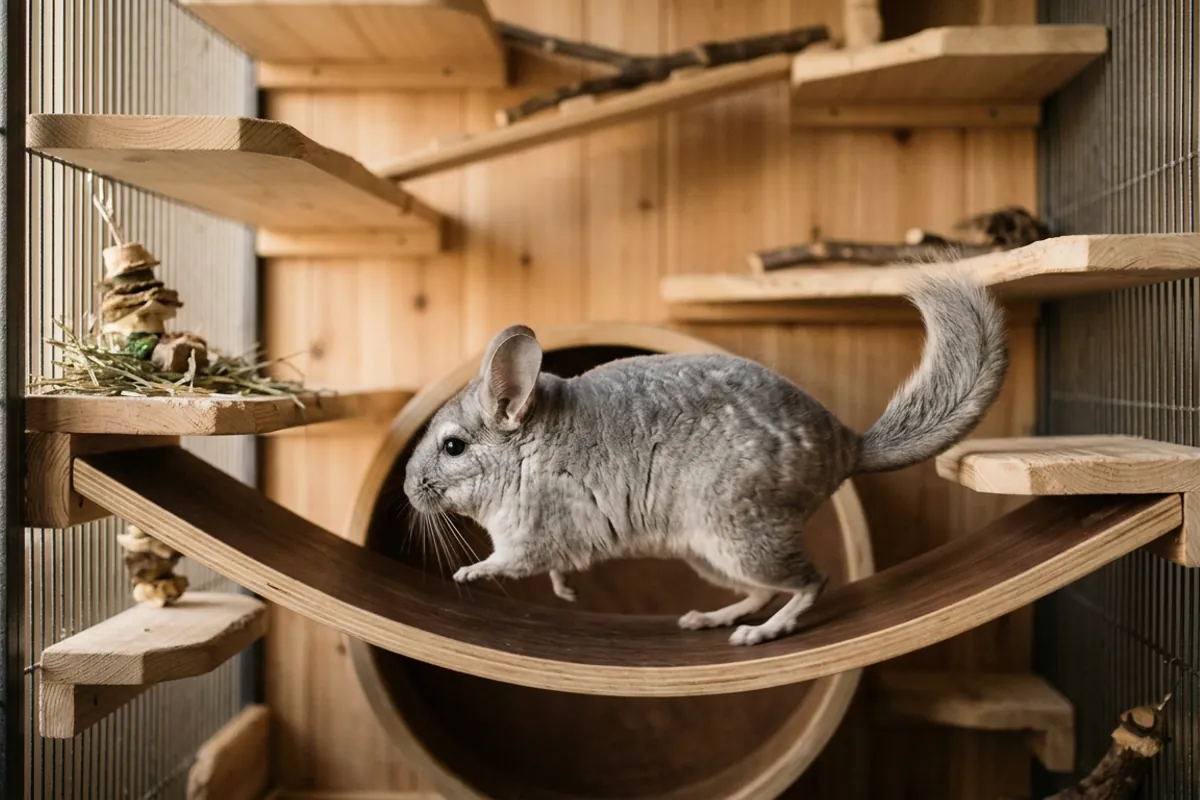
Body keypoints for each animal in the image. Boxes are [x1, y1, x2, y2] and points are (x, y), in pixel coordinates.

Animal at [402, 271, 1007, 646]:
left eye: (452, 446)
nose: (407, 489)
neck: (526, 454)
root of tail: (848, 444)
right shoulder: (555, 543)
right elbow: (555, 570)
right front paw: (565, 591)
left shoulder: (529, 535)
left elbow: (504, 562)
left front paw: (464, 572)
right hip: (705, 550)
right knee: (764, 589)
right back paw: (707, 618)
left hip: (740, 533)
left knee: (811, 580)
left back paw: (759, 633)